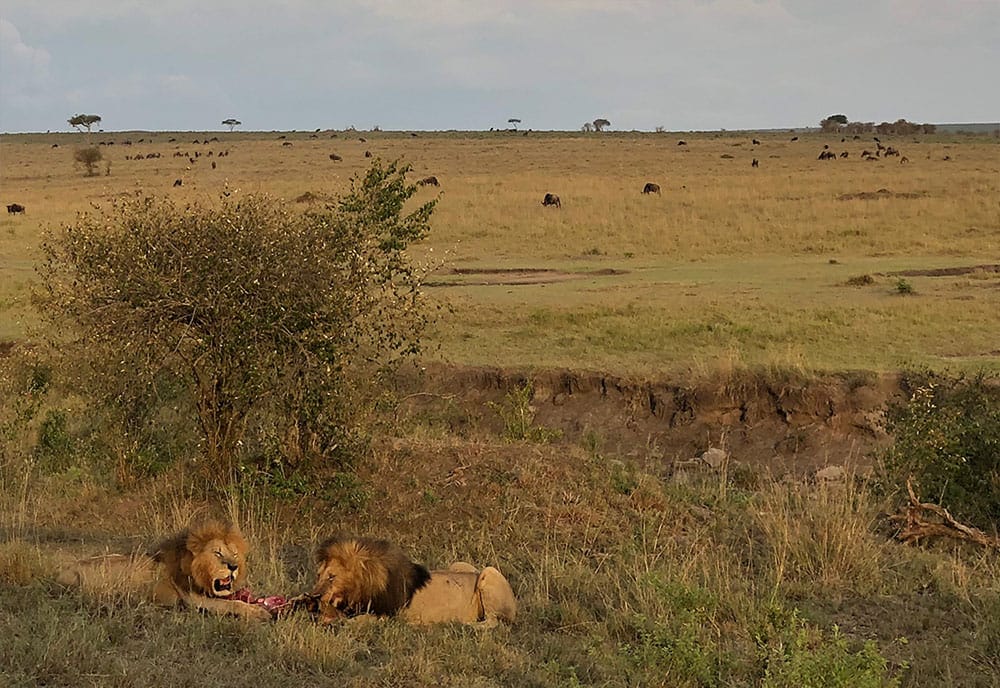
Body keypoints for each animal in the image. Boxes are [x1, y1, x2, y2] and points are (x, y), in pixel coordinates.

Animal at [58, 520, 270, 620]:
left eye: (234, 554)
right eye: (217, 553)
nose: (233, 566)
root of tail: (64, 570)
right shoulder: (193, 600)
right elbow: (233, 604)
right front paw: (260, 612)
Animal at [308, 536, 516, 628]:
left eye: (332, 576)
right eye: (318, 575)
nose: (314, 595)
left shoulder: (388, 616)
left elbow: (359, 620)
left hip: (489, 572)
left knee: (492, 622)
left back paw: (462, 624)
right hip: (459, 564)